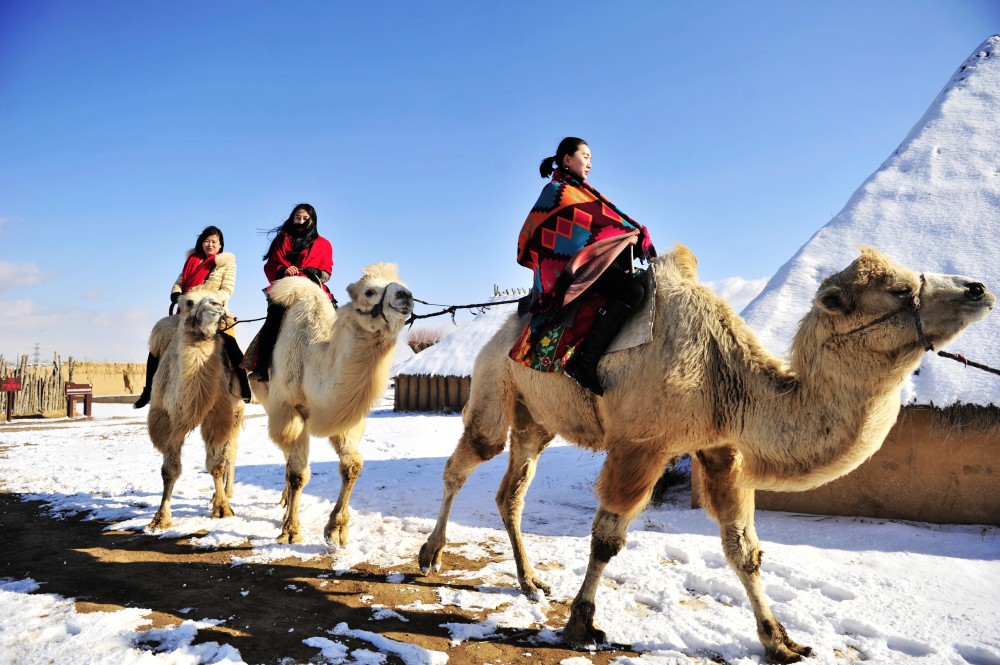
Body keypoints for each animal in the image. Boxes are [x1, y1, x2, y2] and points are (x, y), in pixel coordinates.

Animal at [146, 290, 245, 528]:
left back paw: (226, 492)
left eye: (222, 299)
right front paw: (160, 518)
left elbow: (216, 464)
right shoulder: (168, 419)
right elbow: (169, 470)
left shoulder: (217, 416)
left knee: (231, 451)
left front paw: (222, 508)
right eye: (189, 302)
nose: (217, 305)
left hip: (236, 413)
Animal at [252, 262, 412, 544]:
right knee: (288, 458)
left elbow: (352, 466)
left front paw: (336, 530)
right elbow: (299, 474)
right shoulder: (290, 410)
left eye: (403, 284)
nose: (406, 296)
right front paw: (291, 531)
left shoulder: (346, 418)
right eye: (369, 291)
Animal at [416, 246, 992, 660]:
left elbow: (744, 549)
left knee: (511, 490)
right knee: (468, 459)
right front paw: (582, 625)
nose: (980, 287)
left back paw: (531, 581)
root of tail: (501, 331)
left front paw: (780, 642)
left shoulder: (720, 449)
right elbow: (607, 539)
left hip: (537, 418)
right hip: (496, 381)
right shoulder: (642, 444)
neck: (725, 377)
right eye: (898, 289)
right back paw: (430, 554)